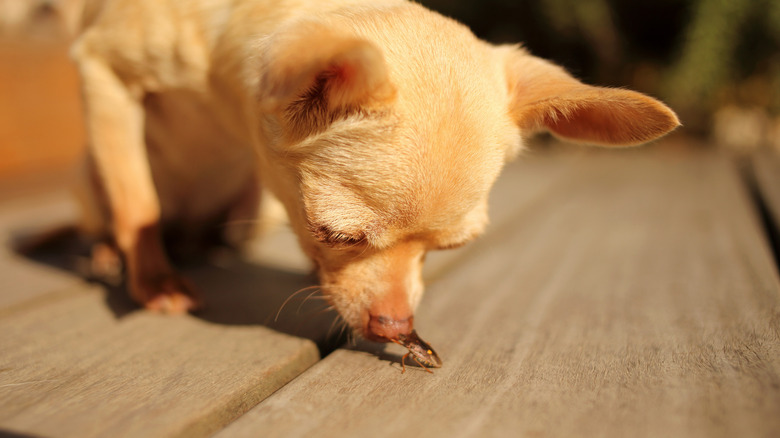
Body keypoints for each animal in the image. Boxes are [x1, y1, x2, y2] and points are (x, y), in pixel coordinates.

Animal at [65, 0, 676, 342]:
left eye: (451, 249)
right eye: (334, 233)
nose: (397, 327)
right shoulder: (102, 71)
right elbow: (137, 200)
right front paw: (155, 282)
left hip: (254, 210)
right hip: (89, 180)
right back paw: (106, 253)